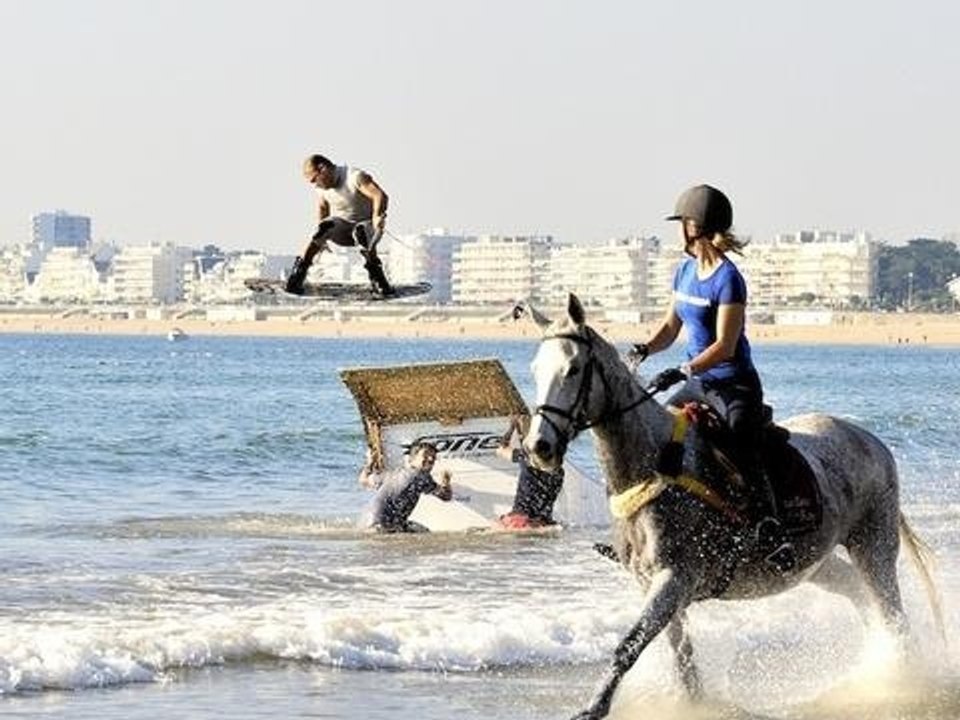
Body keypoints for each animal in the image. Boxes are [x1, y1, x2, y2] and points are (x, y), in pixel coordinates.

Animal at [517, 294, 943, 720]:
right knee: (859, 594)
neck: (652, 465)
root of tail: (871, 440)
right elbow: (682, 658)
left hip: (874, 547)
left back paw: (896, 679)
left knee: (892, 612)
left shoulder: (674, 578)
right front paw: (691, 703)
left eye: (573, 369)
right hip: (814, 562)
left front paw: (594, 707)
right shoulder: (651, 583)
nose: (539, 447)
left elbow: (629, 646)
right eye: (535, 369)